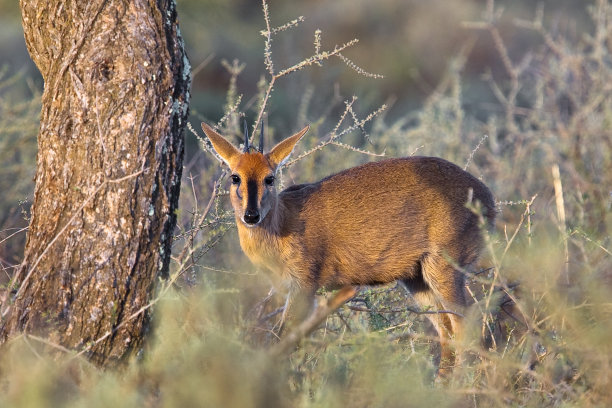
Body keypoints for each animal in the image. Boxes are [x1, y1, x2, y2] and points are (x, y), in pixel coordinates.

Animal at [202, 119, 498, 374]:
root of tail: (488, 197)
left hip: (444, 270)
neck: (285, 221)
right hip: (417, 280)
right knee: (447, 334)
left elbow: (282, 339)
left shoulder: (304, 286)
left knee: (467, 329)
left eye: (270, 178)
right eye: (235, 177)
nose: (251, 216)